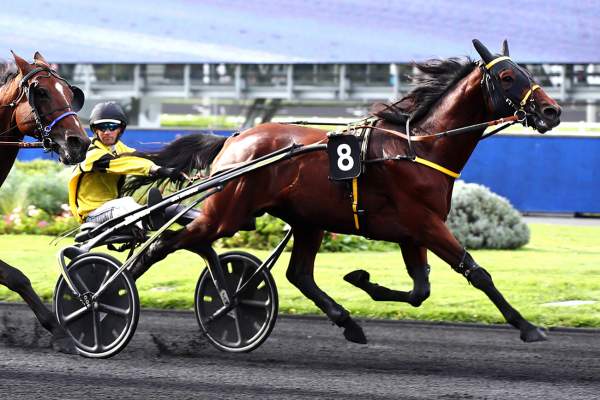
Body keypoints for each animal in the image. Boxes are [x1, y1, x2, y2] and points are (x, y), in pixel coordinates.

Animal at [0, 52, 90, 353]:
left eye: (71, 93)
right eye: (41, 92)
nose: (79, 142)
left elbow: (17, 276)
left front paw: (60, 331)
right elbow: (13, 275)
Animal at [124, 39, 561, 344]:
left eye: (524, 71)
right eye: (507, 77)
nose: (552, 111)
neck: (418, 147)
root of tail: (234, 139)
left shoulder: (413, 232)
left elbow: (420, 290)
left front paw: (362, 280)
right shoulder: (425, 223)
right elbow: (477, 272)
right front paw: (528, 327)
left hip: (304, 221)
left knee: (296, 273)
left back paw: (344, 321)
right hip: (228, 213)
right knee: (162, 244)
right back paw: (116, 292)